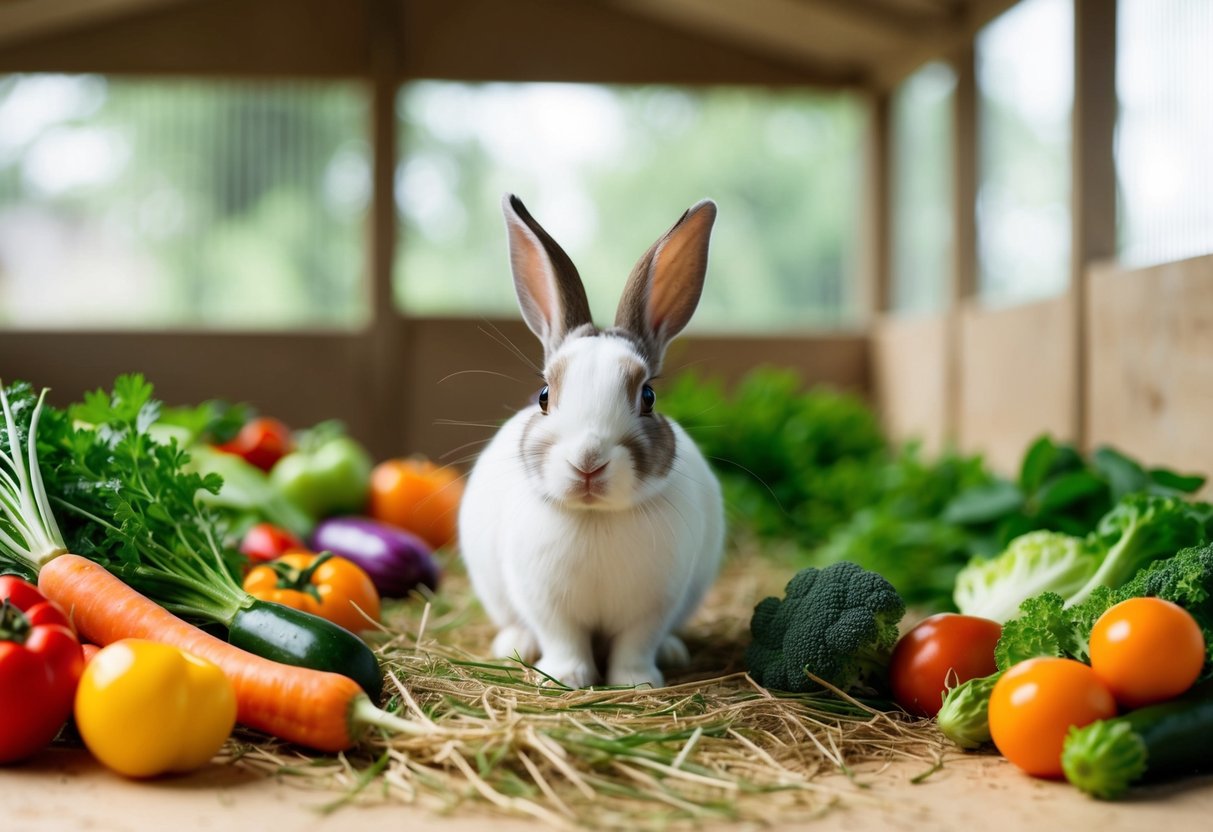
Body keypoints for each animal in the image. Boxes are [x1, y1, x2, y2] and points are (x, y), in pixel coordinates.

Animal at [457, 194, 725, 690]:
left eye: (648, 396)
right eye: (544, 396)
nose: (588, 461)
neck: (595, 518)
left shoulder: (654, 605)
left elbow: (636, 645)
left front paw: (637, 682)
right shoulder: (546, 602)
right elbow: (563, 639)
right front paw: (563, 678)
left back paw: (674, 651)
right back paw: (514, 646)